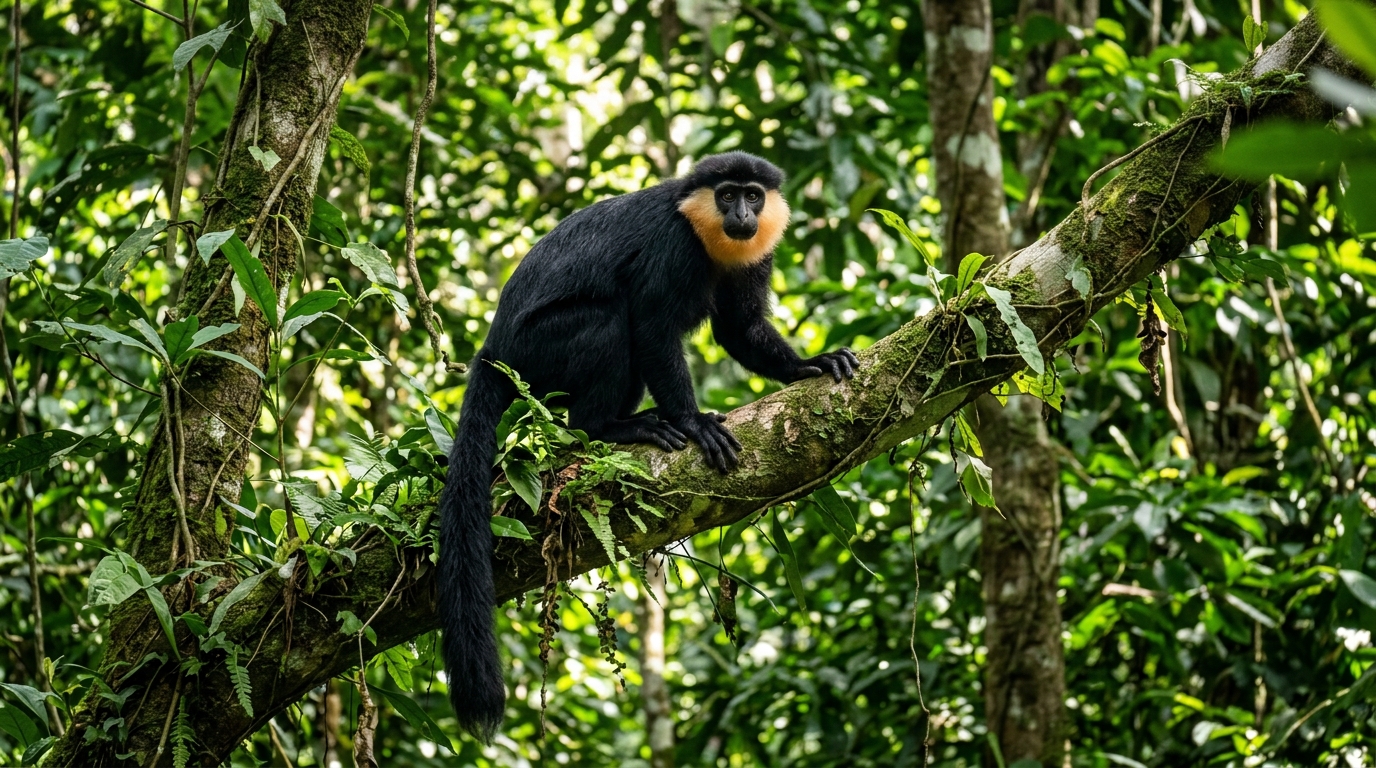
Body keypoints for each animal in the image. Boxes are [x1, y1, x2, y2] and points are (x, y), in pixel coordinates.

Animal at [436, 151, 860, 740]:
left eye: (753, 195)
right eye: (727, 195)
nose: (742, 215)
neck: (704, 233)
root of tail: (493, 353)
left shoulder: (754, 254)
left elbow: (740, 327)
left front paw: (809, 366)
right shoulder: (672, 243)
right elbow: (653, 326)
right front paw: (694, 422)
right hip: (539, 348)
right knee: (609, 320)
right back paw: (607, 429)